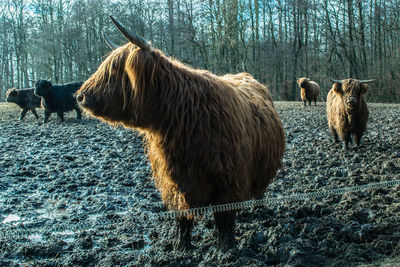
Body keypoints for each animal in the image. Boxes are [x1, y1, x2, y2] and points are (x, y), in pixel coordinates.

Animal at [76, 16, 286, 251]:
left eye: (114, 72)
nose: (80, 96)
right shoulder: (174, 181)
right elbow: (182, 216)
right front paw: (180, 246)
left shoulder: (229, 180)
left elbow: (224, 218)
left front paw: (226, 248)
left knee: (258, 192)